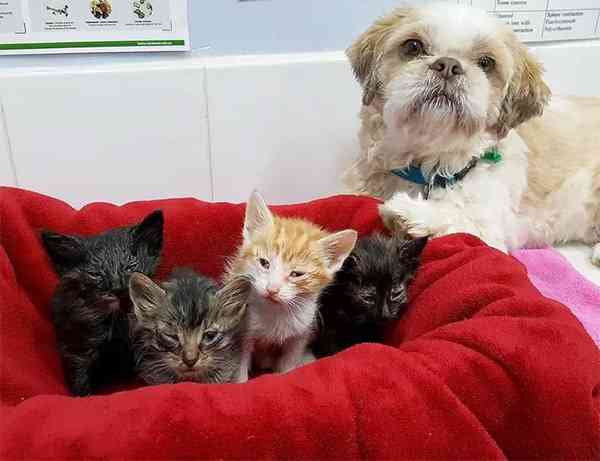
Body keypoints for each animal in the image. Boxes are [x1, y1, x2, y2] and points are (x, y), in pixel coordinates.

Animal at [41, 210, 164, 396]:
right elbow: (80, 377)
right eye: (95, 274)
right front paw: (83, 396)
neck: (120, 319)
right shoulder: (78, 345)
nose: (117, 288)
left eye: (129, 268)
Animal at [225, 190, 358, 382]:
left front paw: (286, 375)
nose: (272, 289)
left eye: (296, 274)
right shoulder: (242, 333)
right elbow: (239, 366)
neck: (275, 312)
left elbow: (289, 364)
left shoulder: (301, 332)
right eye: (264, 263)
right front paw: (241, 383)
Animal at [343, 2, 600, 264]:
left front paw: (409, 212)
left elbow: (461, 220)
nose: (448, 65)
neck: (429, 169)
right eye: (413, 46)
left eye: (486, 62)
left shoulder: (490, 230)